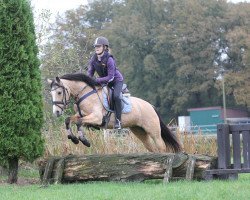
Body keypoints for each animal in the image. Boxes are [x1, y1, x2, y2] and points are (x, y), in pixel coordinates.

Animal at [47, 72, 182, 152]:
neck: (85, 94)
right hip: (139, 131)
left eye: (59, 92)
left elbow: (79, 122)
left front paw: (84, 140)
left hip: (153, 131)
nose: (56, 112)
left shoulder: (96, 117)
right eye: (51, 93)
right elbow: (69, 120)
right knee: (151, 147)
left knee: (161, 146)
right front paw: (73, 138)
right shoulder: (82, 115)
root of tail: (151, 106)